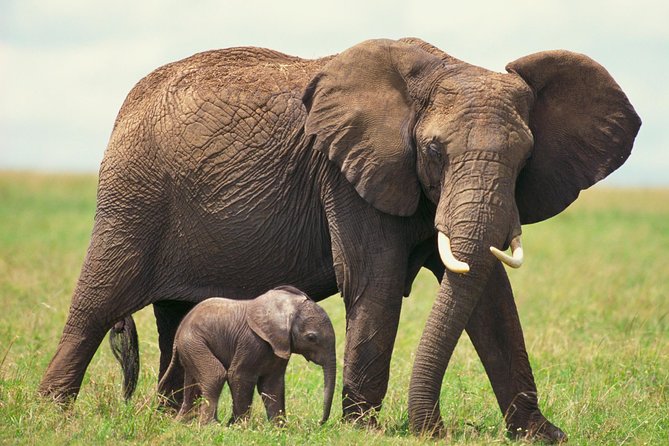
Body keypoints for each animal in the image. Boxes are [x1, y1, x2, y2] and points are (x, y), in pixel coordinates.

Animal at [158, 286, 336, 425]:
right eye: (311, 338)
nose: (319, 422)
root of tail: (179, 332)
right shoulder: (251, 342)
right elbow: (239, 376)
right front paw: (239, 427)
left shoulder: (279, 345)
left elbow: (272, 385)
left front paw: (280, 429)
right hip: (194, 342)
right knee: (215, 375)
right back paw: (211, 426)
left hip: (191, 347)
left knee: (192, 384)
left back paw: (182, 423)